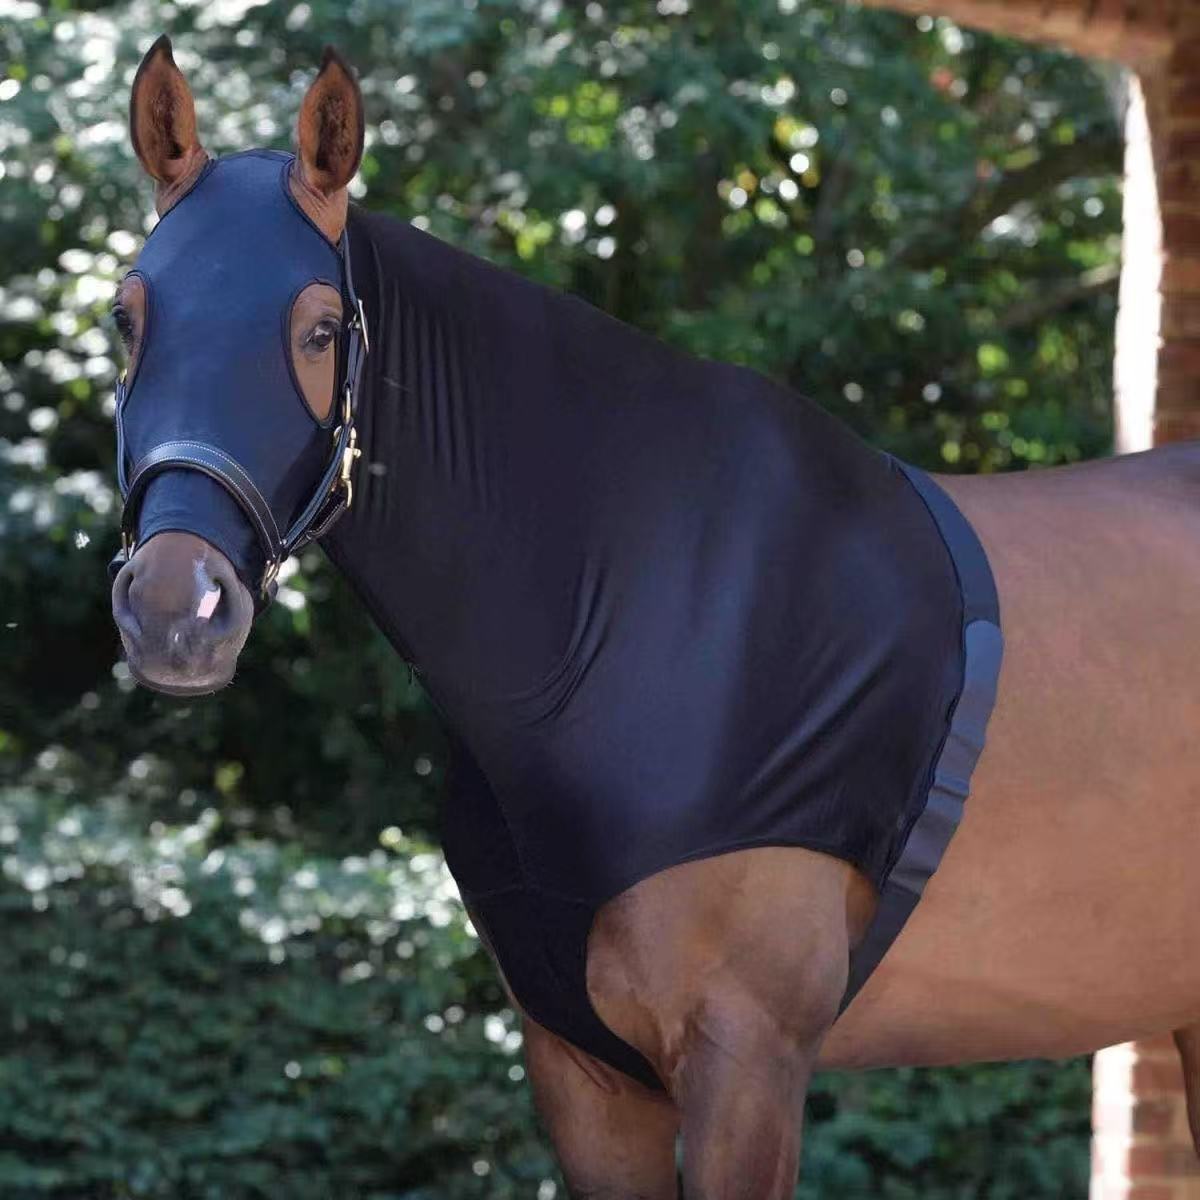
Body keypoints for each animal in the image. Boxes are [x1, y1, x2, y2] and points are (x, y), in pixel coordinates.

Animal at [108, 38, 1200, 1198]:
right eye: (127, 318)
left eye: (319, 328)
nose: (176, 610)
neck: (635, 605)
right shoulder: (582, 1067)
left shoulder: (747, 1054)